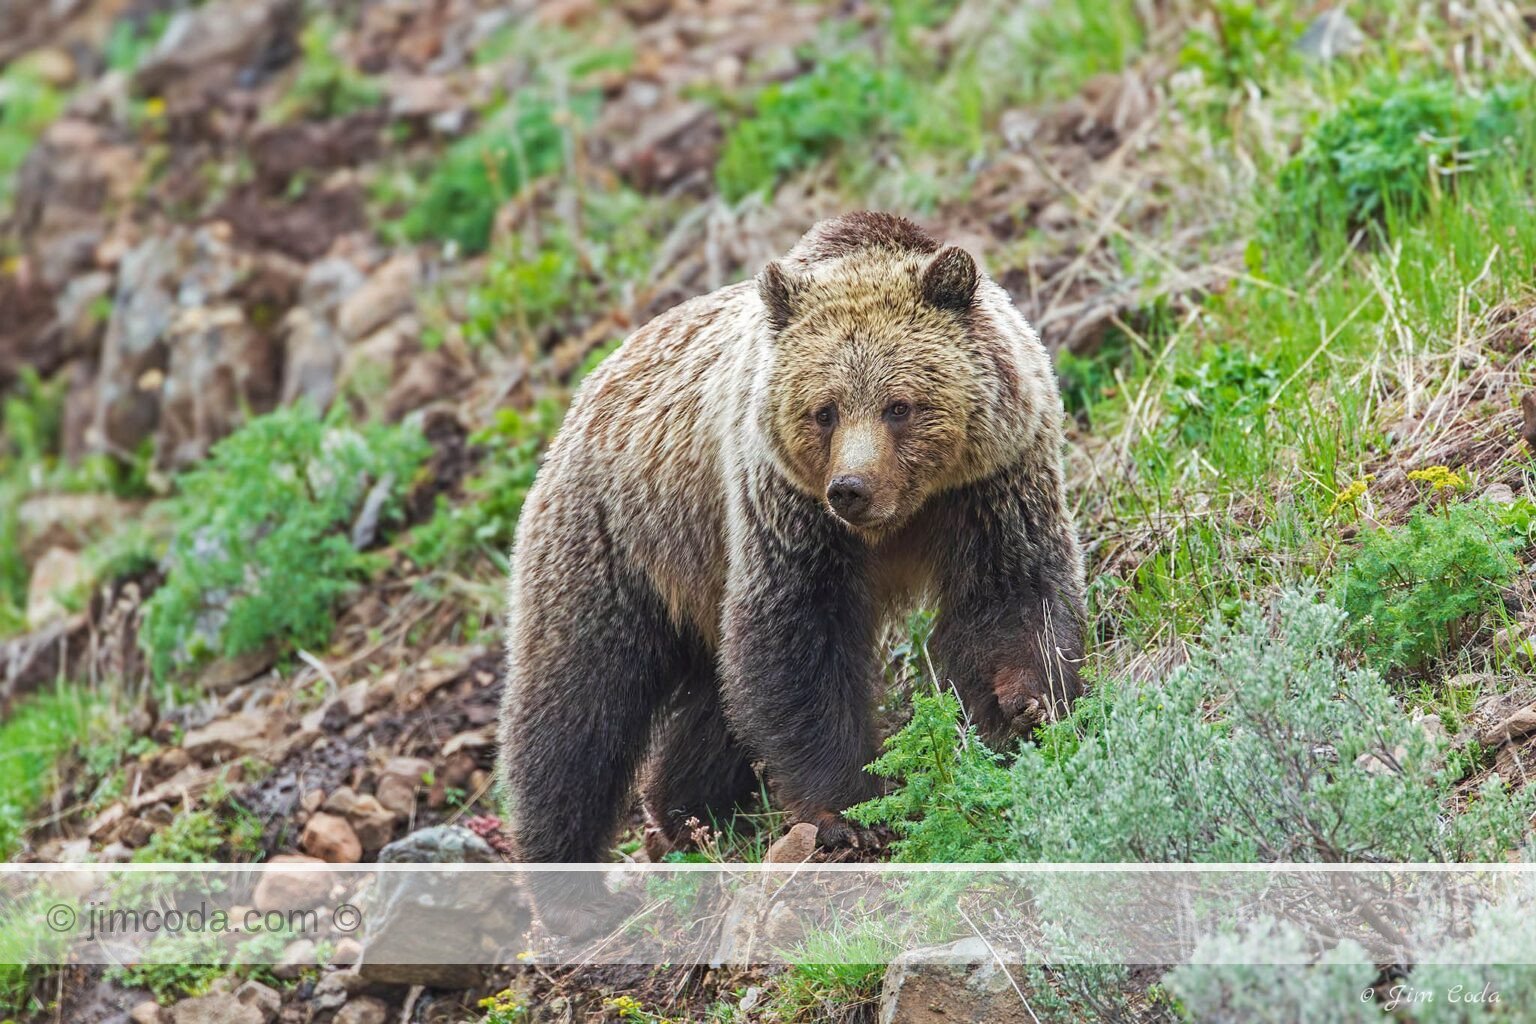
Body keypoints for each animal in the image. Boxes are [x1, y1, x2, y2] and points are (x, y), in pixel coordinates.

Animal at [496, 212, 1085, 890]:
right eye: (824, 410)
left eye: (900, 405)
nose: (851, 488)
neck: (902, 517)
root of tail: (583, 394)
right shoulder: (788, 512)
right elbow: (794, 644)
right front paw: (852, 811)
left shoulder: (989, 483)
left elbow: (1012, 592)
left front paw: (1028, 704)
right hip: (615, 545)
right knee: (575, 714)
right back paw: (566, 868)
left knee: (713, 703)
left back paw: (683, 811)